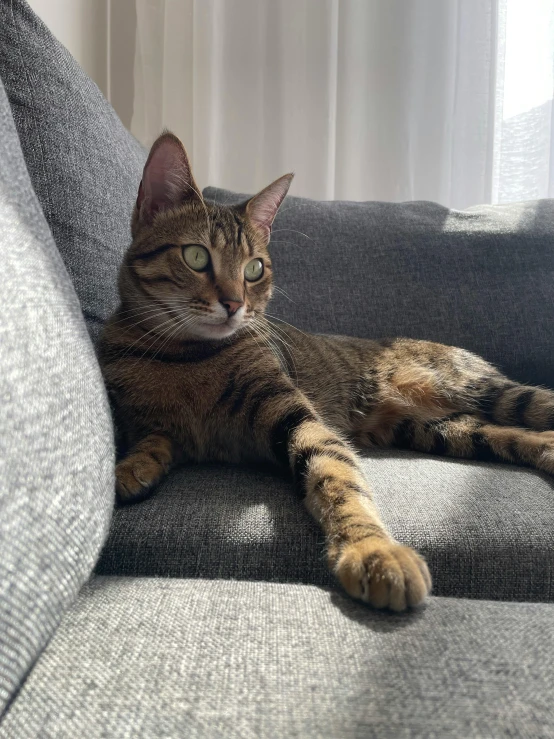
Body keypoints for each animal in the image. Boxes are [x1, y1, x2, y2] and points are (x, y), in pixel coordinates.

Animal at [98, 132, 552, 612]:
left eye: (254, 269)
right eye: (196, 256)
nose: (235, 304)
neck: (186, 356)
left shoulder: (291, 413)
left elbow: (336, 477)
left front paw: (373, 550)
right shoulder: (153, 422)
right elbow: (153, 442)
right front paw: (130, 469)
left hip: (482, 390)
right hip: (436, 428)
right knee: (511, 436)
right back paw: (549, 449)